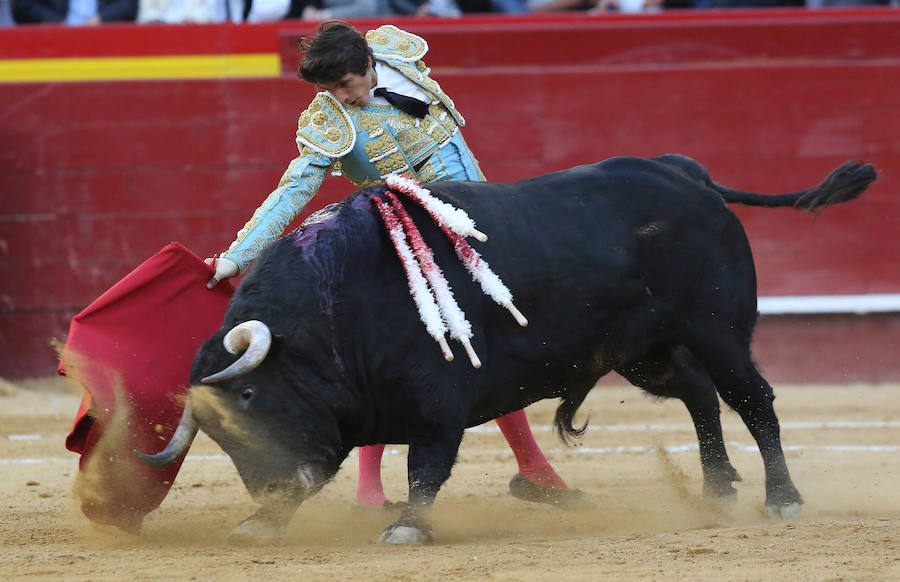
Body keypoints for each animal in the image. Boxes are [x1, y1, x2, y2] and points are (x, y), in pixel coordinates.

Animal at [137, 156, 876, 548]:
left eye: (251, 394)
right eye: (215, 432)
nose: (270, 489)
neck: (332, 312)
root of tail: (684, 173)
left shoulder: (436, 405)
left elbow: (426, 469)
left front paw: (407, 529)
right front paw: (258, 523)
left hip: (716, 328)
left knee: (753, 398)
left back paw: (782, 499)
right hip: (644, 350)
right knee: (699, 396)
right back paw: (716, 492)